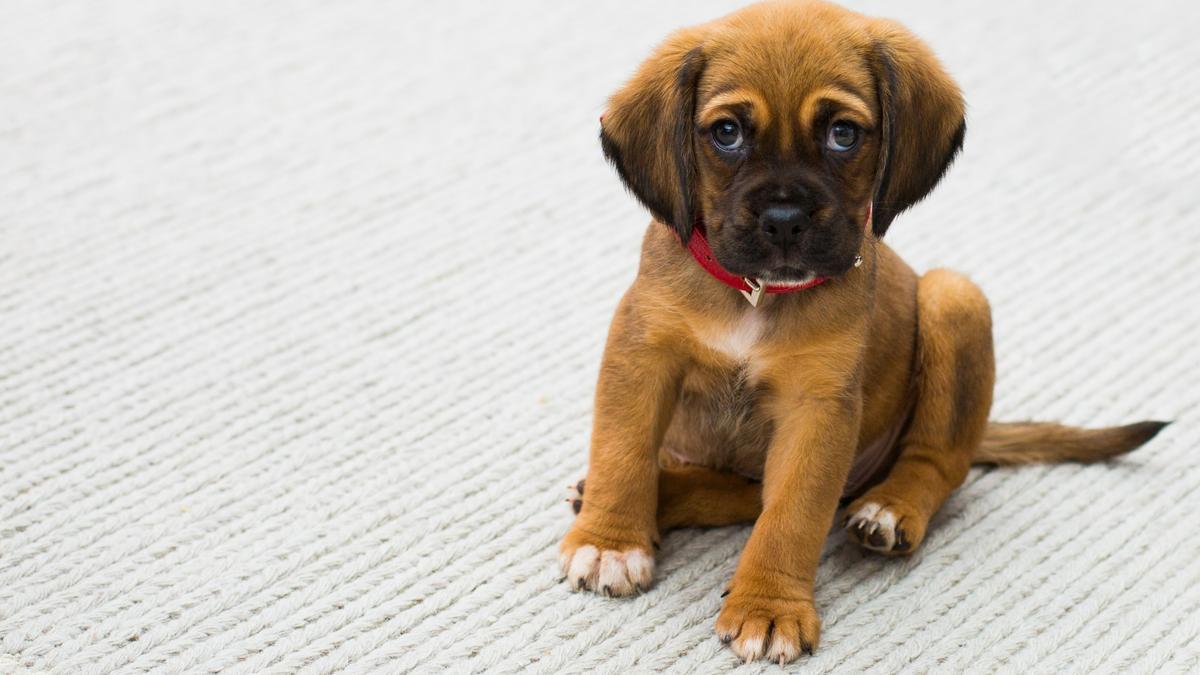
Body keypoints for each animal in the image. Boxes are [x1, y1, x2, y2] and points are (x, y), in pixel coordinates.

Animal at [559, 0, 1161, 662]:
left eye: (842, 134)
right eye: (727, 133)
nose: (784, 221)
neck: (756, 295)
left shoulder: (817, 410)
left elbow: (792, 516)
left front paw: (769, 606)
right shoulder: (640, 357)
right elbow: (622, 452)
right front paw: (612, 540)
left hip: (954, 297)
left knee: (936, 462)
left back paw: (892, 509)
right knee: (739, 493)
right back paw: (655, 495)